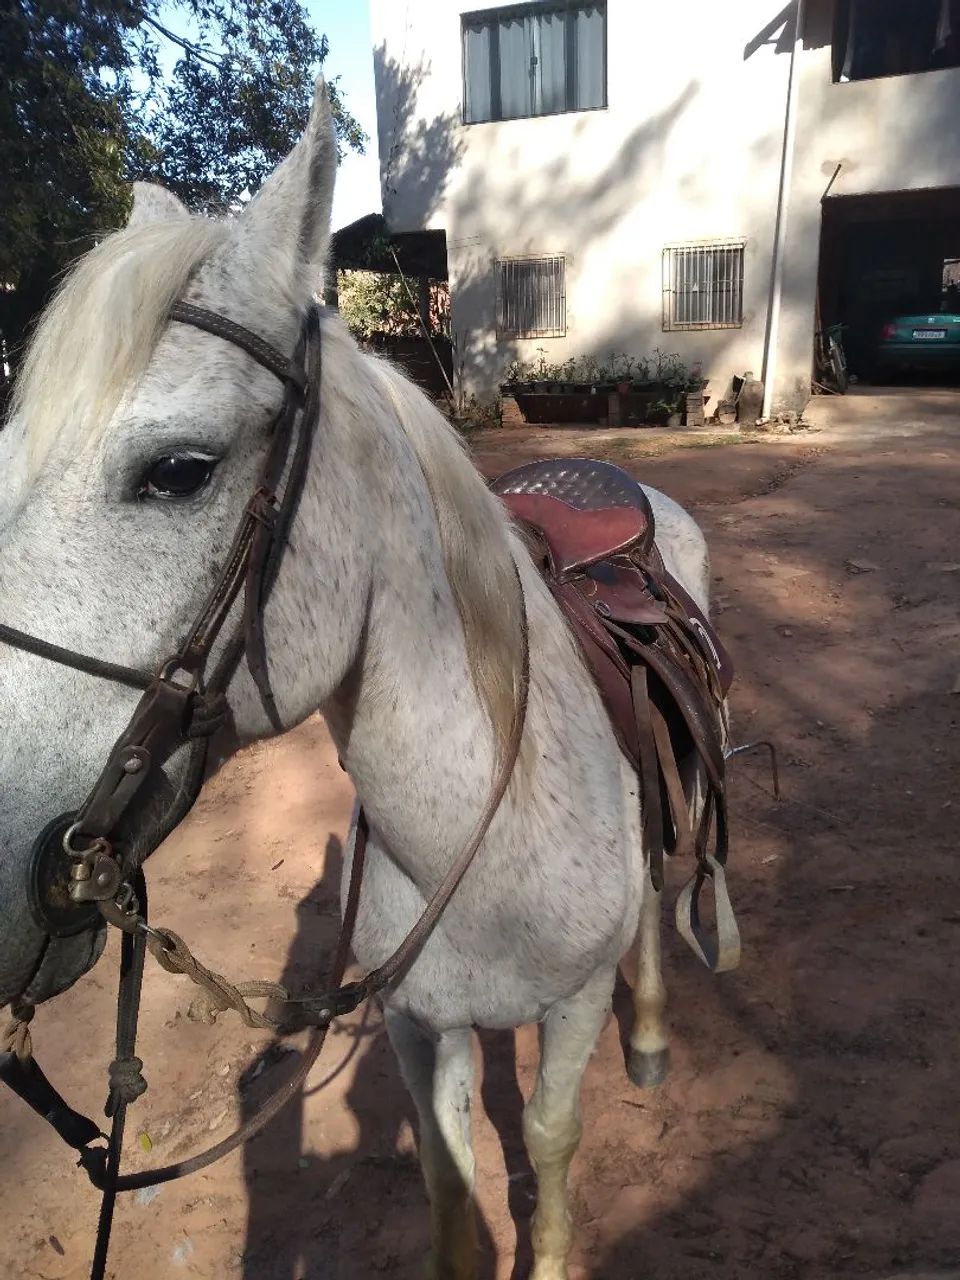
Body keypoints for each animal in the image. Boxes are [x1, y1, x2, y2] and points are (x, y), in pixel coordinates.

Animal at [0, 80, 719, 1280]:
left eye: (178, 471)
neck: (485, 831)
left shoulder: (571, 1007)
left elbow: (552, 1137)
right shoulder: (421, 1027)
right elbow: (451, 1185)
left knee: (662, 898)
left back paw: (659, 1034)